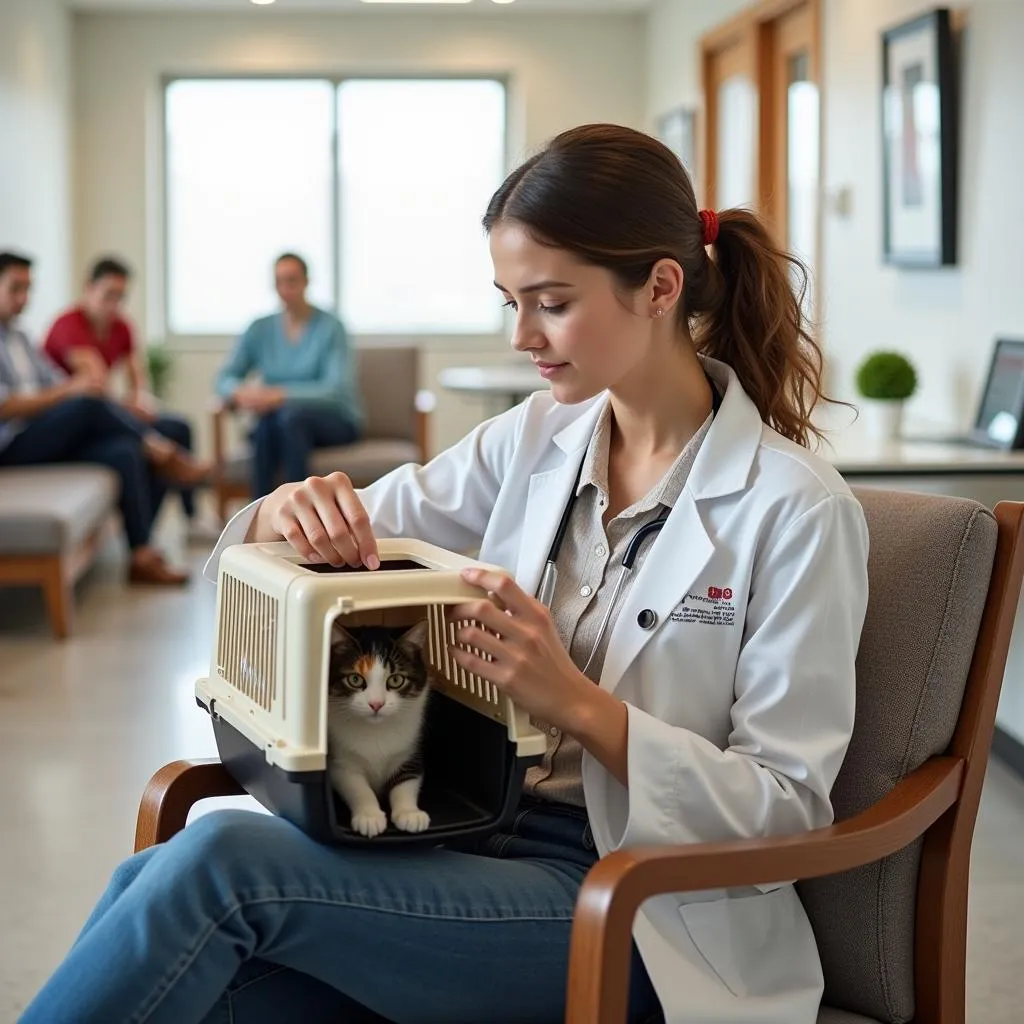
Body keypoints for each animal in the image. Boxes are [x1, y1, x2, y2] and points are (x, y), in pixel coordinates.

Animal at [327, 618, 432, 835]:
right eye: (355, 679)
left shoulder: (412, 748)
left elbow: (407, 782)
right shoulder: (340, 760)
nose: (376, 704)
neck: (376, 729)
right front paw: (369, 817)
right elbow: (358, 787)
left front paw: (410, 813)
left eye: (396, 679)